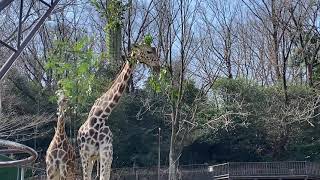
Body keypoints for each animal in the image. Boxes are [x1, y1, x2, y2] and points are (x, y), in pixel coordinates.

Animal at [76, 43, 159, 180]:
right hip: (90, 157)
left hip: (103, 157)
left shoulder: (106, 152)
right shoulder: (85, 154)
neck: (98, 119)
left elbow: (103, 177)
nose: (158, 65)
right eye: (148, 51)